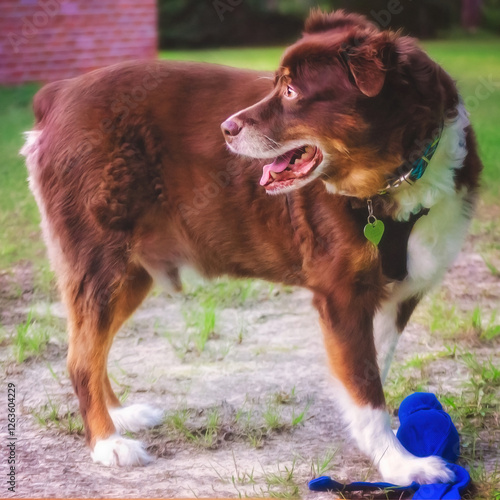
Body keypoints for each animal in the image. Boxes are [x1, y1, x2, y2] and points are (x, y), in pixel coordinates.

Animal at [23, 8, 480, 484]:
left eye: (292, 91)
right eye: (276, 84)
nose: (225, 128)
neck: (398, 177)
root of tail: (58, 94)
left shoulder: (402, 293)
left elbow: (375, 370)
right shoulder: (341, 297)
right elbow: (364, 383)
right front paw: (400, 465)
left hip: (129, 273)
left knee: (91, 353)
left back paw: (119, 416)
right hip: (100, 264)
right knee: (80, 359)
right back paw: (107, 443)